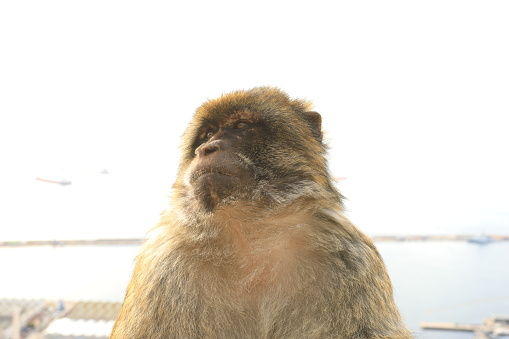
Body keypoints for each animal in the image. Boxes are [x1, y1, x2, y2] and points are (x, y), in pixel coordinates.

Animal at [111, 86, 412, 338]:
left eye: (241, 126)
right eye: (207, 133)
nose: (205, 149)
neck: (250, 235)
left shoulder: (350, 257)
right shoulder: (163, 265)